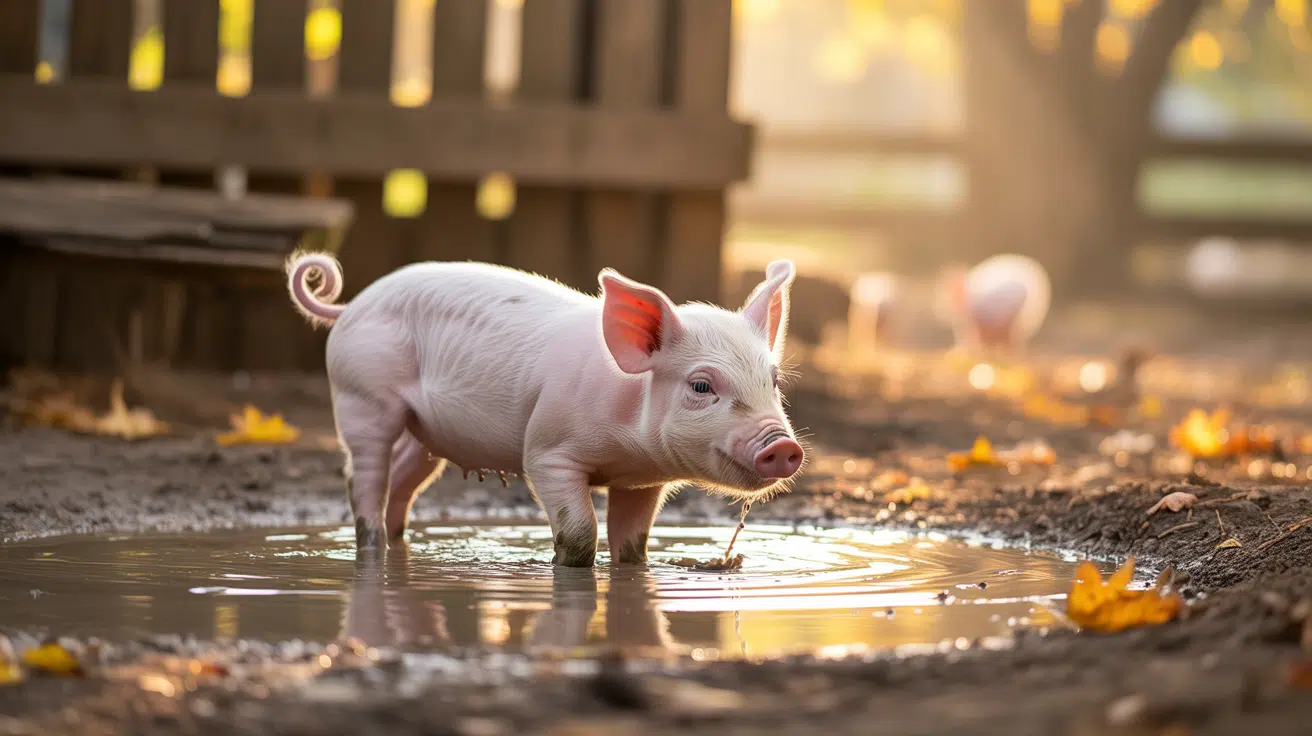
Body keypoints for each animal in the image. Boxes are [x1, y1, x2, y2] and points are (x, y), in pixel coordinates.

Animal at [285, 253, 806, 566]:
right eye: (701, 385)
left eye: (773, 381)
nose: (781, 445)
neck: (627, 447)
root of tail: (351, 306)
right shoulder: (549, 452)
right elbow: (577, 534)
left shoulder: (642, 482)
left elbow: (633, 546)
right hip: (362, 396)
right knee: (363, 477)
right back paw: (372, 544)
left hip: (426, 434)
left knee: (403, 479)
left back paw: (399, 543)